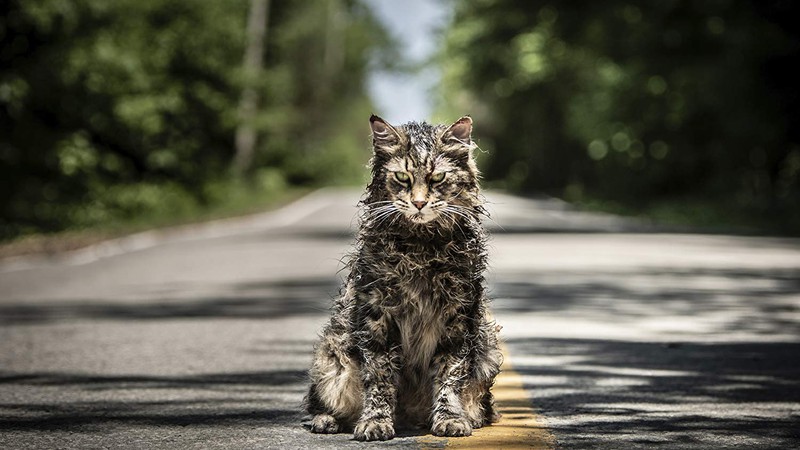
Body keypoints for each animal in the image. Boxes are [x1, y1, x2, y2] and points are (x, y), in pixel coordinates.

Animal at [304, 114, 504, 442]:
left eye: (437, 179)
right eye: (402, 178)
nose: (419, 203)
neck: (421, 248)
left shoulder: (458, 317)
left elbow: (450, 375)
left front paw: (450, 418)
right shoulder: (377, 316)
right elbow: (380, 378)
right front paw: (375, 422)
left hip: (487, 348)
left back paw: (466, 418)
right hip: (332, 356)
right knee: (320, 402)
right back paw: (327, 420)